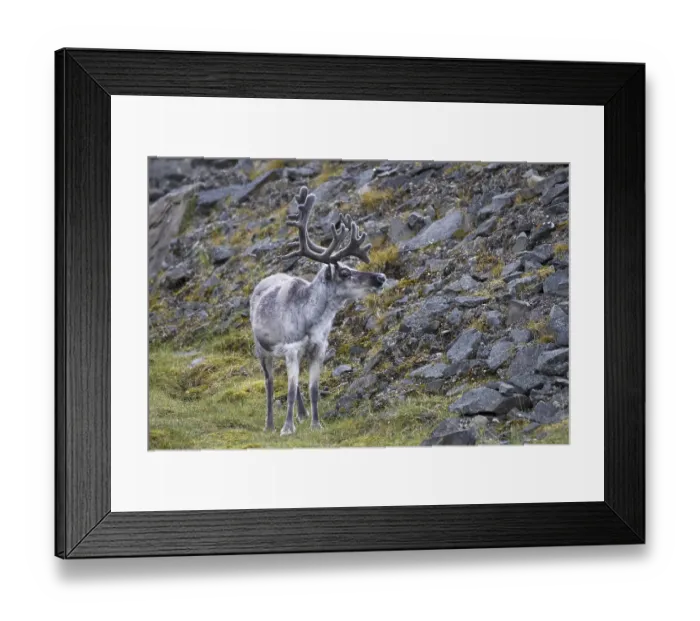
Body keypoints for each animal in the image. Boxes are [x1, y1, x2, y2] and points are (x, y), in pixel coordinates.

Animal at [250, 186, 387, 436]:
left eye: (350, 266)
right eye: (344, 272)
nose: (380, 277)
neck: (312, 320)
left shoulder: (318, 348)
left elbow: (312, 388)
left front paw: (315, 423)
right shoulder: (292, 348)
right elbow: (290, 389)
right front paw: (287, 428)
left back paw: (302, 414)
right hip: (262, 350)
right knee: (270, 382)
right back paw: (270, 424)